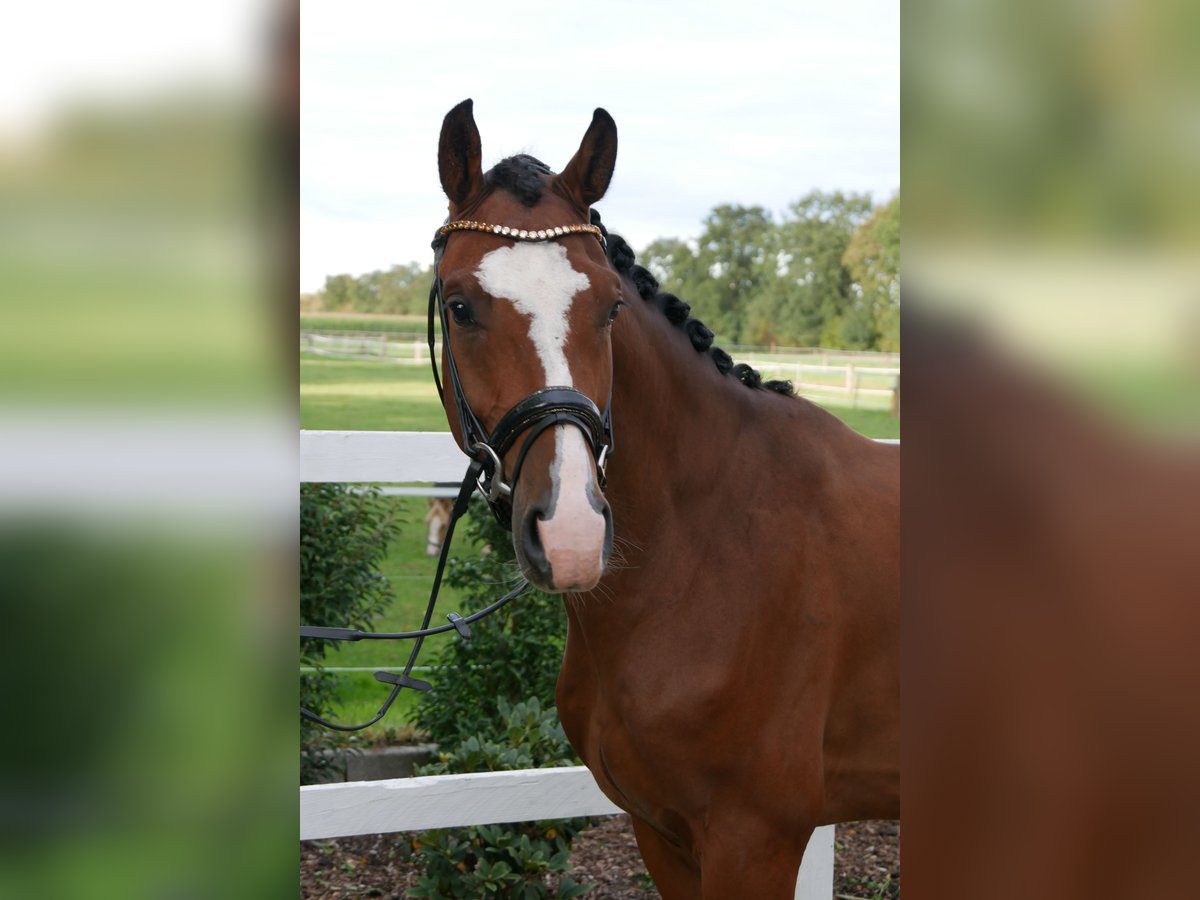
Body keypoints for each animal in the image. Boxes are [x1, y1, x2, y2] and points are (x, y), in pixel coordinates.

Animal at [432, 100, 902, 900]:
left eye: (610, 306)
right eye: (460, 306)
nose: (571, 532)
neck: (706, 549)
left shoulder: (754, 841)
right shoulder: (659, 831)